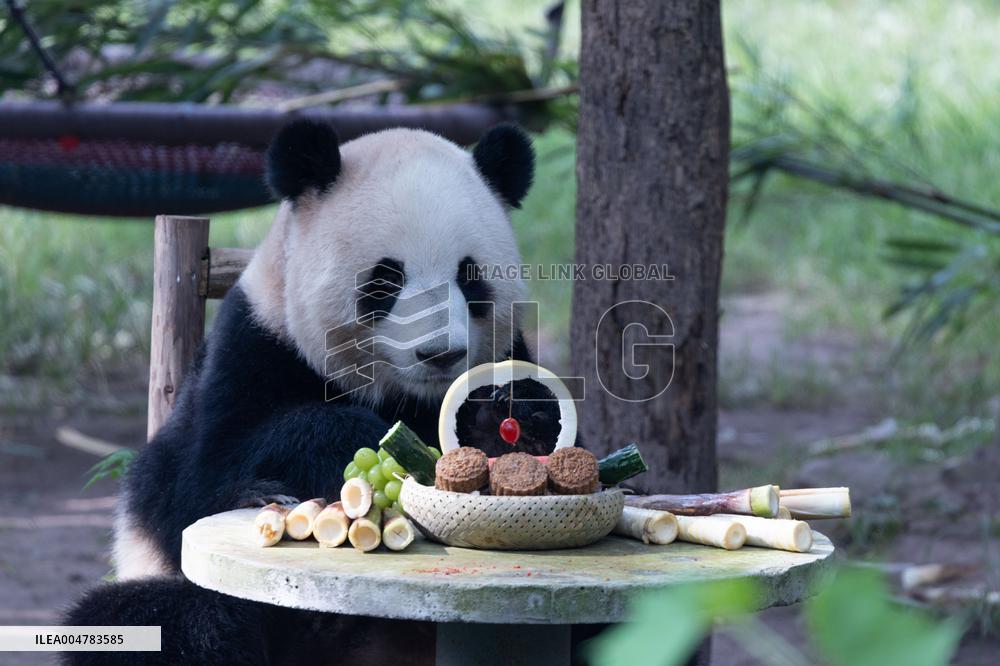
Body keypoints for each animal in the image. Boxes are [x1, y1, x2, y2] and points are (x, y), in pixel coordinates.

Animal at [63, 120, 536, 665]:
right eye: (386, 280)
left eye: (470, 278)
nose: (440, 354)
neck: (404, 395)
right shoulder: (252, 348)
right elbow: (194, 480)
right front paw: (352, 445)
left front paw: (504, 422)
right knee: (159, 622)